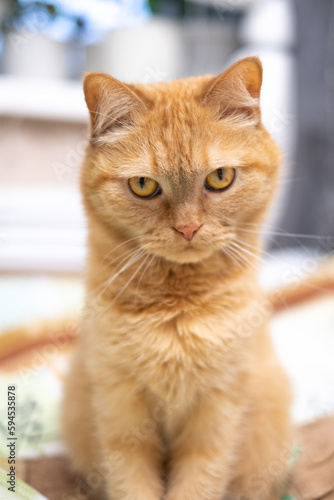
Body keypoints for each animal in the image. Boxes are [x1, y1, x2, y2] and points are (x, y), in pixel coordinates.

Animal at [62, 57, 292, 500]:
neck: (177, 308)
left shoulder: (218, 411)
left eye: (220, 177)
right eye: (143, 185)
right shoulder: (120, 409)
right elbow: (131, 482)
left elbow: (199, 480)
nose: (187, 228)